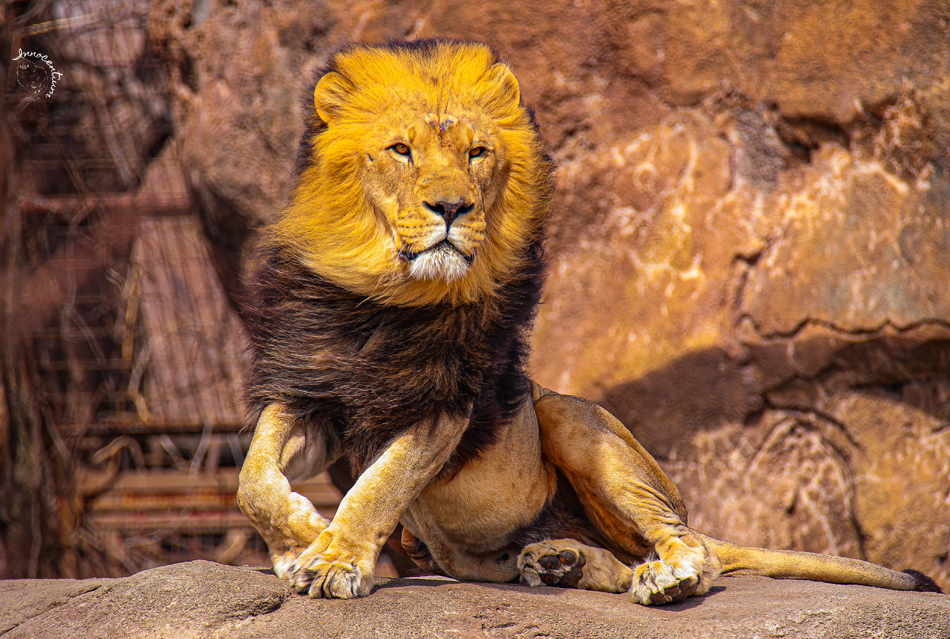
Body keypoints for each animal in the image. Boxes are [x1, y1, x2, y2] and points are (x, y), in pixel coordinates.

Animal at [237, 39, 942, 603]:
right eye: (401, 151)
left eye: (477, 153)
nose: (452, 207)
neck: (384, 297)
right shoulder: (310, 390)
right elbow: (254, 477)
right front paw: (300, 540)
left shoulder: (446, 403)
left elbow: (380, 485)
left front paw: (332, 555)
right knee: (613, 564)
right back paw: (561, 563)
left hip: (569, 416)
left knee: (690, 546)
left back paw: (665, 574)